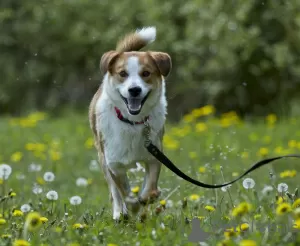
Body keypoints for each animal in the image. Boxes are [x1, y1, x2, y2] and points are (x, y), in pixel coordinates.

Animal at [88, 26, 171, 221]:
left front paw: (150, 196)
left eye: (146, 73)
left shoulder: (154, 155)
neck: (132, 122)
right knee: (114, 192)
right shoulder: (114, 163)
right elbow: (123, 192)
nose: (134, 90)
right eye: (123, 74)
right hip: (102, 157)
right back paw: (120, 213)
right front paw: (131, 206)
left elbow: (150, 187)